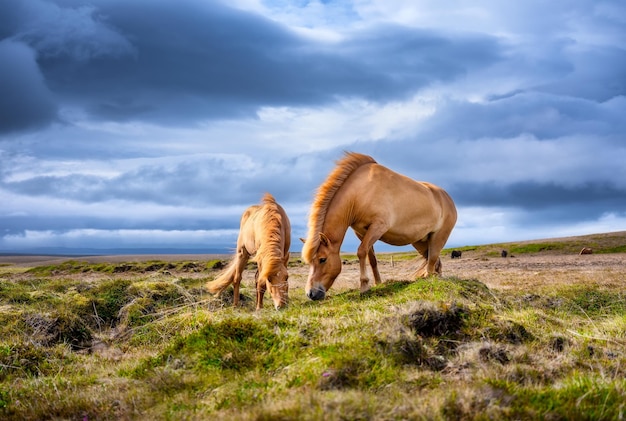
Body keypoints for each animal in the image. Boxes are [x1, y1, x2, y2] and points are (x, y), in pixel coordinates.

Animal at [300, 153, 456, 300]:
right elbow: (371, 258)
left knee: (432, 259)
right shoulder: (362, 233)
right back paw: (436, 277)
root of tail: (447, 198)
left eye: (322, 259)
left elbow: (361, 252)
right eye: (309, 262)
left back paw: (429, 277)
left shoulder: (378, 227)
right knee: (434, 261)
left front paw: (364, 286)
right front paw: (377, 283)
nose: (310, 294)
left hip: (438, 238)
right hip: (421, 242)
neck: (359, 193)